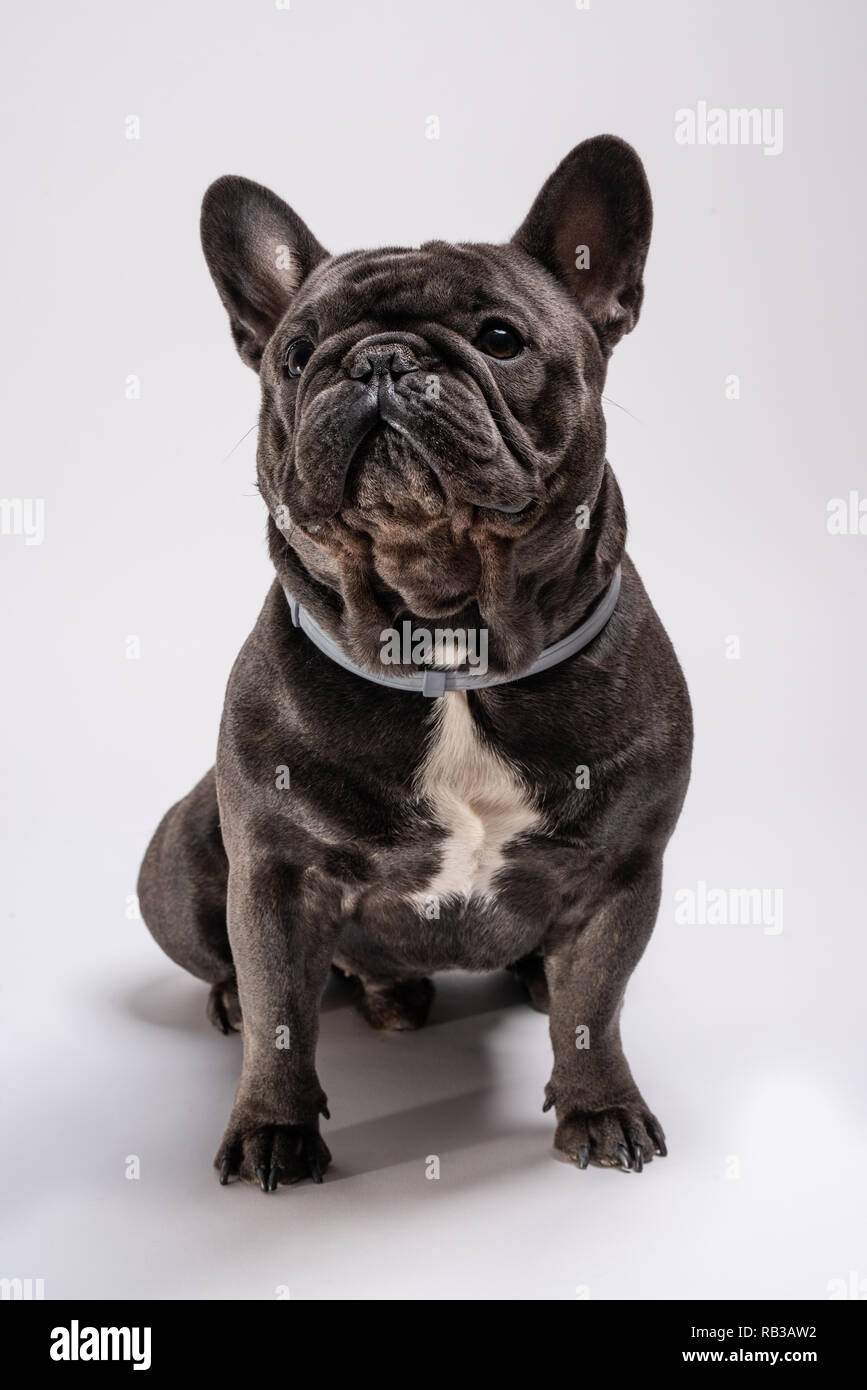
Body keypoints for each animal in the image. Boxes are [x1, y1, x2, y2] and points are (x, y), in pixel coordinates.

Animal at [140, 135, 691, 1189]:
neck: (447, 645)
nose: (379, 359)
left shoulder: (619, 872)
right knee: (240, 972)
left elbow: (594, 1009)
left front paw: (599, 1107)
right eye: (296, 354)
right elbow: (280, 1012)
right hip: (183, 855)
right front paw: (273, 1129)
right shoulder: (271, 877)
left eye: (501, 338)